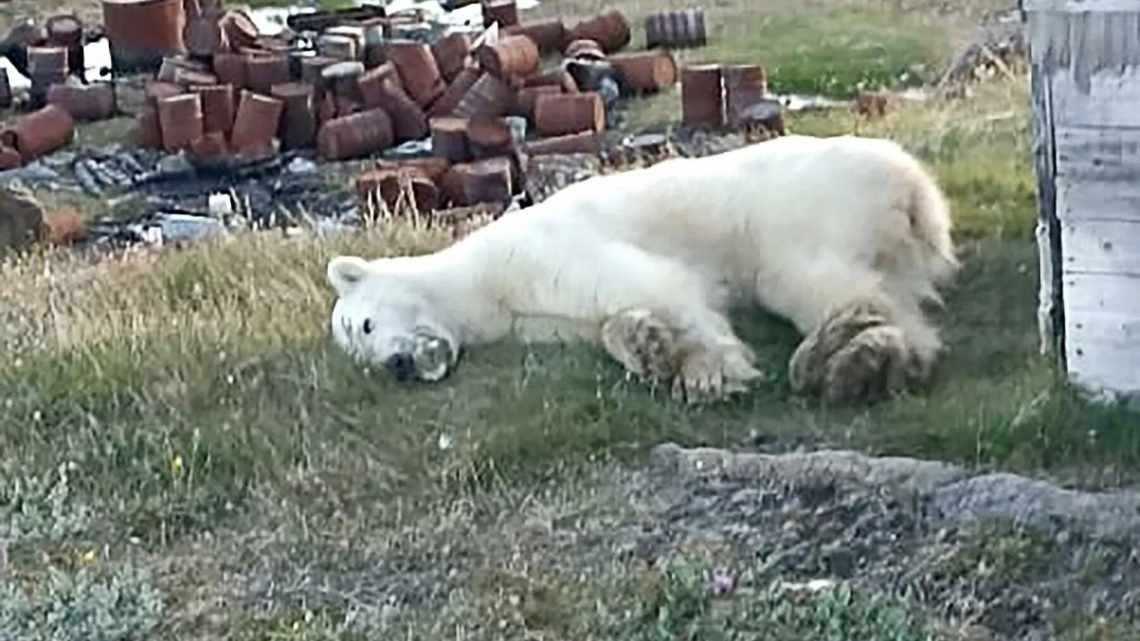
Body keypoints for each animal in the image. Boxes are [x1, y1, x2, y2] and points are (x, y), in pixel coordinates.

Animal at [326, 133, 957, 403]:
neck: (479, 280)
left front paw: (708, 373)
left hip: (806, 205)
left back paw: (847, 360)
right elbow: (604, 321)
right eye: (362, 357)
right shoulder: (534, 317)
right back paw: (873, 361)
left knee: (810, 277)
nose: (398, 366)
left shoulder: (538, 252)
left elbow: (653, 282)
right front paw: (646, 346)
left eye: (365, 325)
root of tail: (911, 182)